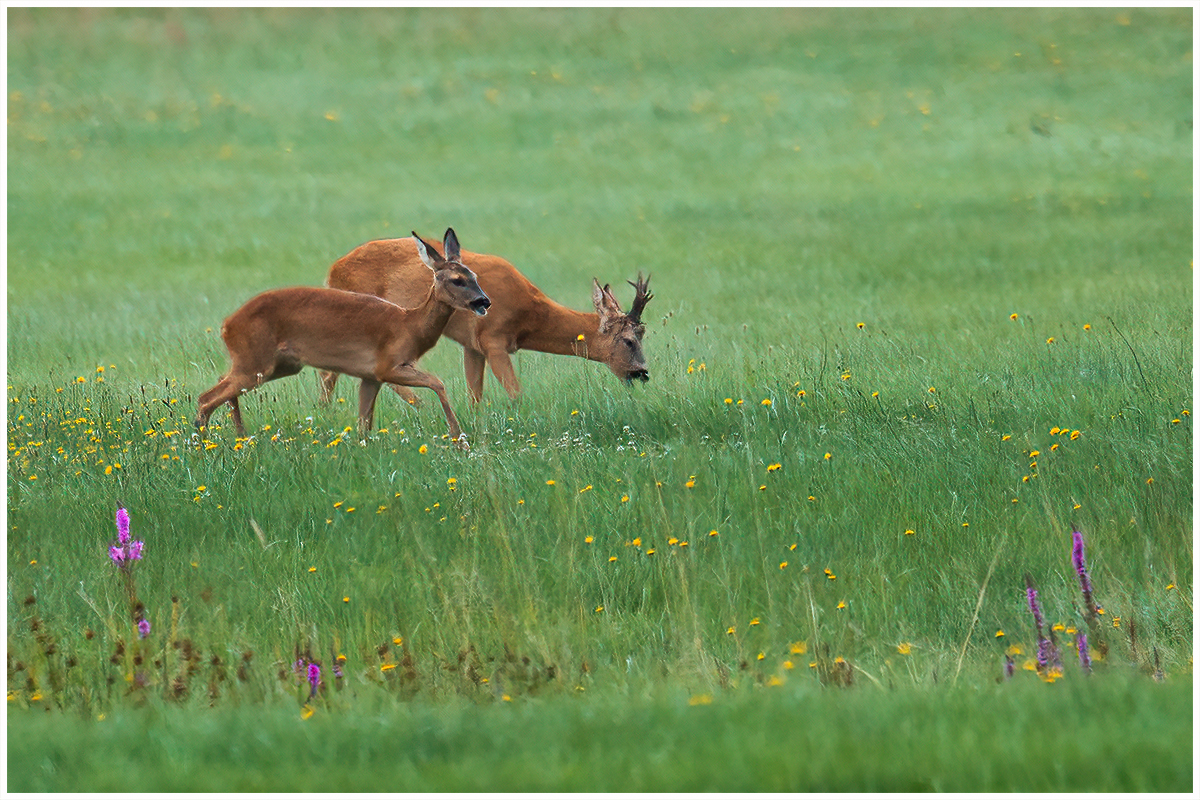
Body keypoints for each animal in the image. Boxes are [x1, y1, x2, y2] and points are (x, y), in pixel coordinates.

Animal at [194, 227, 489, 448]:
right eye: (457, 279)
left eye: (474, 275)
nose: (484, 301)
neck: (410, 327)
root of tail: (226, 325)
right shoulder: (388, 366)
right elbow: (438, 383)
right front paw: (459, 439)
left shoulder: (370, 376)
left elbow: (364, 425)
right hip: (255, 361)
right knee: (206, 398)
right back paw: (201, 443)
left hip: (276, 365)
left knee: (221, 384)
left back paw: (239, 437)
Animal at [319, 235, 652, 402]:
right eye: (628, 340)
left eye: (643, 334)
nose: (642, 373)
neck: (529, 316)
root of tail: (332, 270)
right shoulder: (494, 340)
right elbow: (516, 393)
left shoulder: (473, 346)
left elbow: (475, 396)